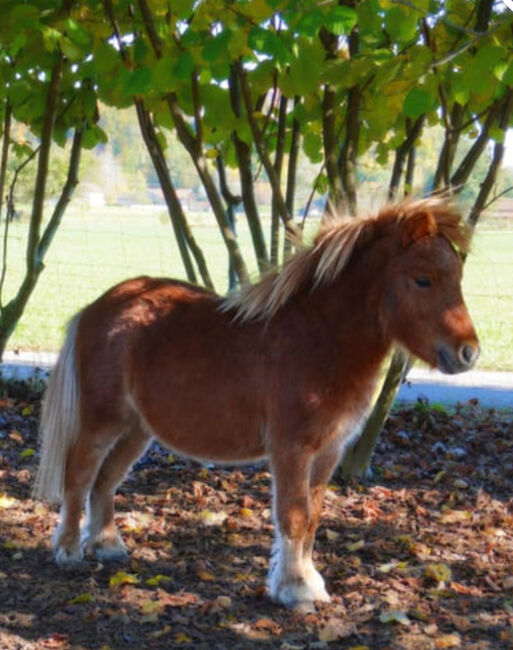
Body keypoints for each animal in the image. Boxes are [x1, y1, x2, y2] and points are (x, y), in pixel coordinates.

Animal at [34, 196, 478, 608]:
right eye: (423, 280)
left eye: (458, 278)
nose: (468, 352)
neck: (321, 338)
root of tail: (97, 307)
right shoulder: (292, 450)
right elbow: (295, 517)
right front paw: (295, 589)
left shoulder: (328, 452)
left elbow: (313, 517)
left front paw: (310, 582)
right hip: (101, 420)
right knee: (79, 474)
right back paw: (68, 549)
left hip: (137, 430)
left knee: (106, 481)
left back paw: (107, 545)